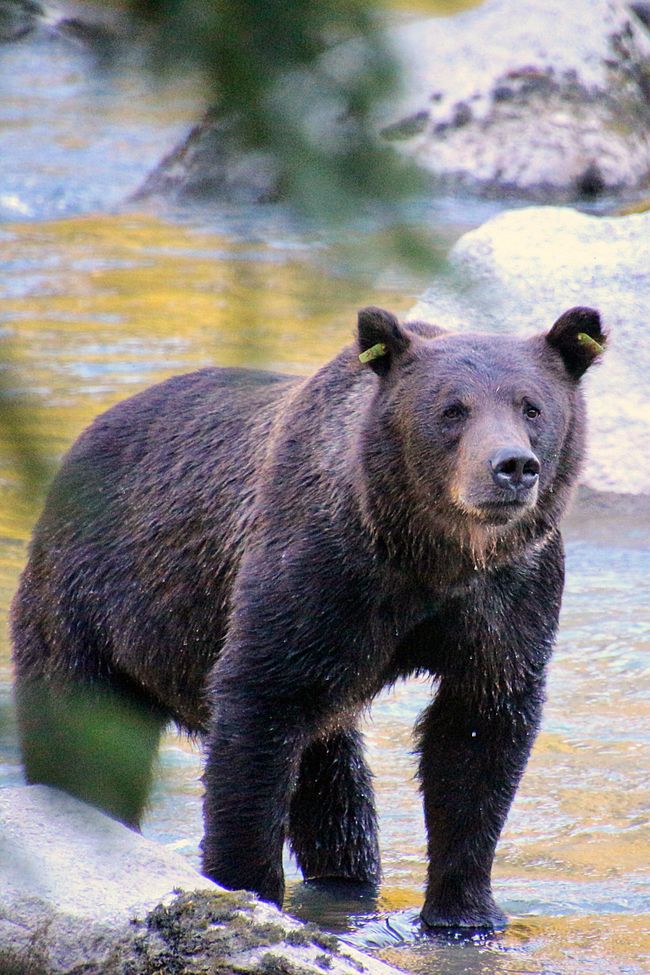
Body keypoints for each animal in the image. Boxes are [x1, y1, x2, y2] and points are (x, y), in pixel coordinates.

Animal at [12, 304, 604, 932]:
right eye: (451, 409)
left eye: (531, 406)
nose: (511, 467)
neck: (430, 554)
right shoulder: (317, 572)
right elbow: (257, 709)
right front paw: (247, 887)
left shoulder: (508, 598)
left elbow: (479, 732)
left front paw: (466, 912)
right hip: (88, 602)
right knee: (78, 735)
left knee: (333, 781)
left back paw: (347, 877)